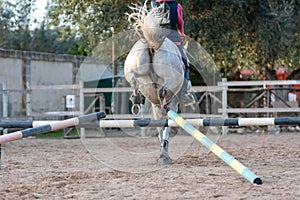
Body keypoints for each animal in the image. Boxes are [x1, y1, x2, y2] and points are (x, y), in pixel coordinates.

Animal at [124, 1, 185, 164]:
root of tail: (152, 44)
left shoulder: (156, 107)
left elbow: (160, 128)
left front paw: (163, 153)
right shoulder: (172, 104)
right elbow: (164, 128)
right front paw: (164, 153)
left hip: (132, 67)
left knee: (133, 80)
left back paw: (136, 99)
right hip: (170, 80)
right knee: (163, 92)